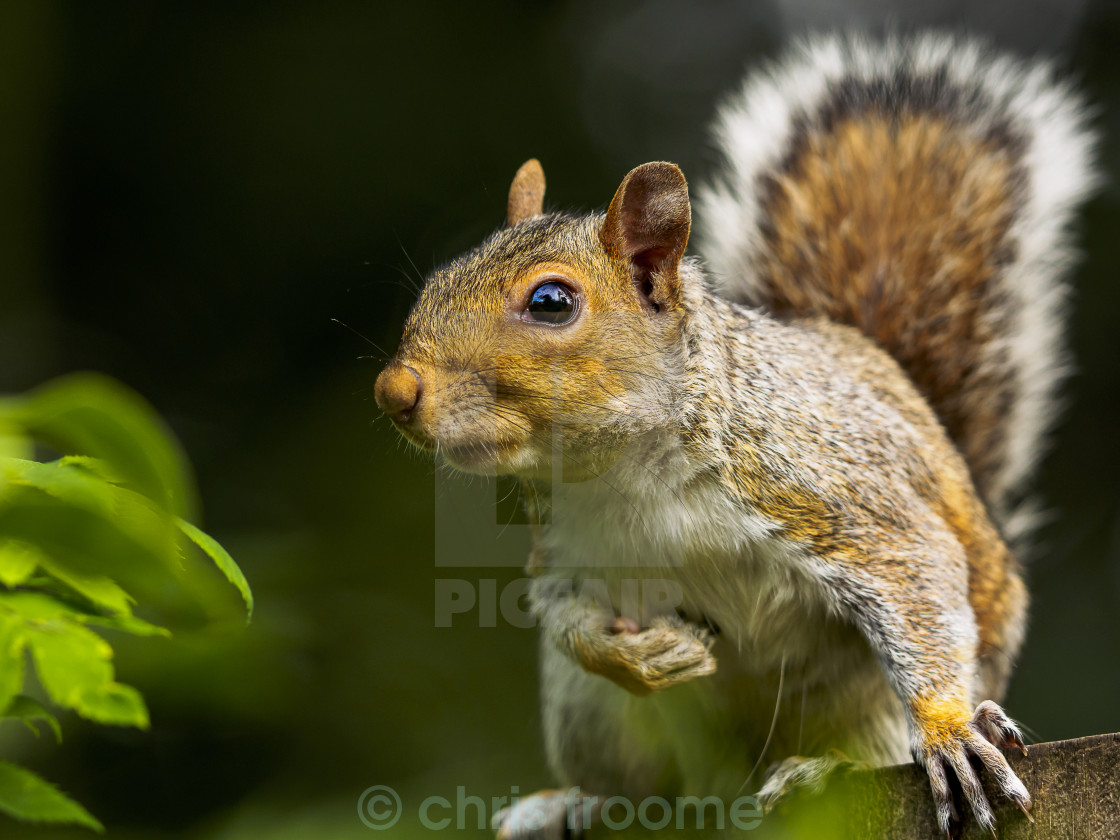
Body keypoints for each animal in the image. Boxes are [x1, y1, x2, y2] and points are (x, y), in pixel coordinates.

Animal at [374, 31, 1093, 837]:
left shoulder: (829, 490)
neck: (626, 470)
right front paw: (634, 655)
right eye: (436, 283)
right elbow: (565, 615)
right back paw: (574, 802)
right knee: (644, 788)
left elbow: (918, 575)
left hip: (862, 706)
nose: (394, 391)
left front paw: (948, 731)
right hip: (591, 716)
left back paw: (819, 768)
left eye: (551, 301)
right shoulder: (563, 546)